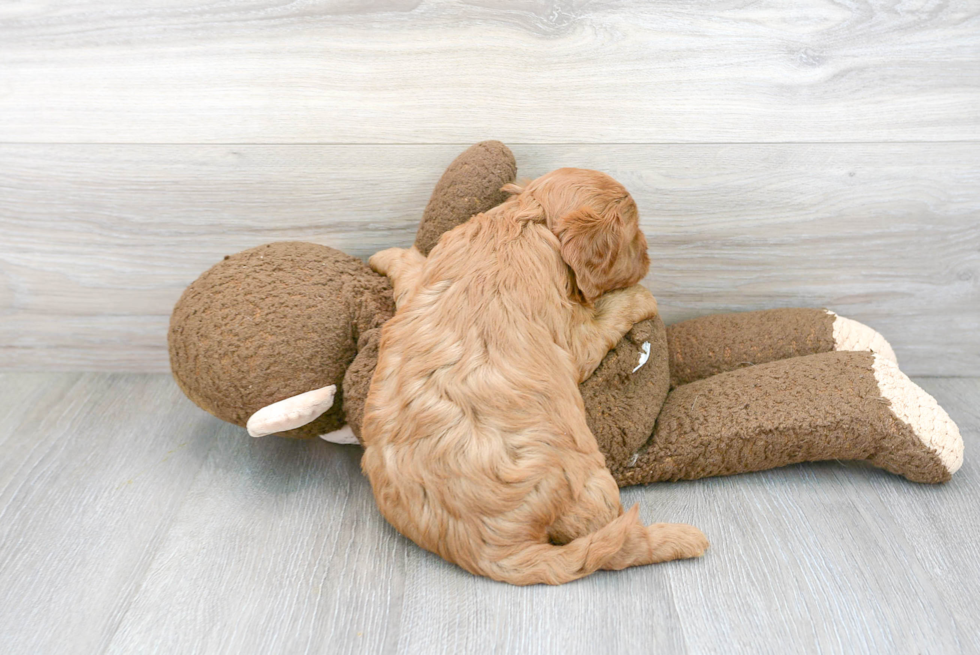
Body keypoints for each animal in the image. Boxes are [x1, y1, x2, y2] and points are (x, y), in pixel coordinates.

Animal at [364, 168, 708, 584]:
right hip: (592, 484)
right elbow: (614, 310)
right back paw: (684, 538)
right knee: (616, 547)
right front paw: (642, 296)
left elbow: (411, 267)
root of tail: (494, 552)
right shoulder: (577, 340)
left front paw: (384, 256)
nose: (648, 255)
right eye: (634, 232)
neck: (529, 219)